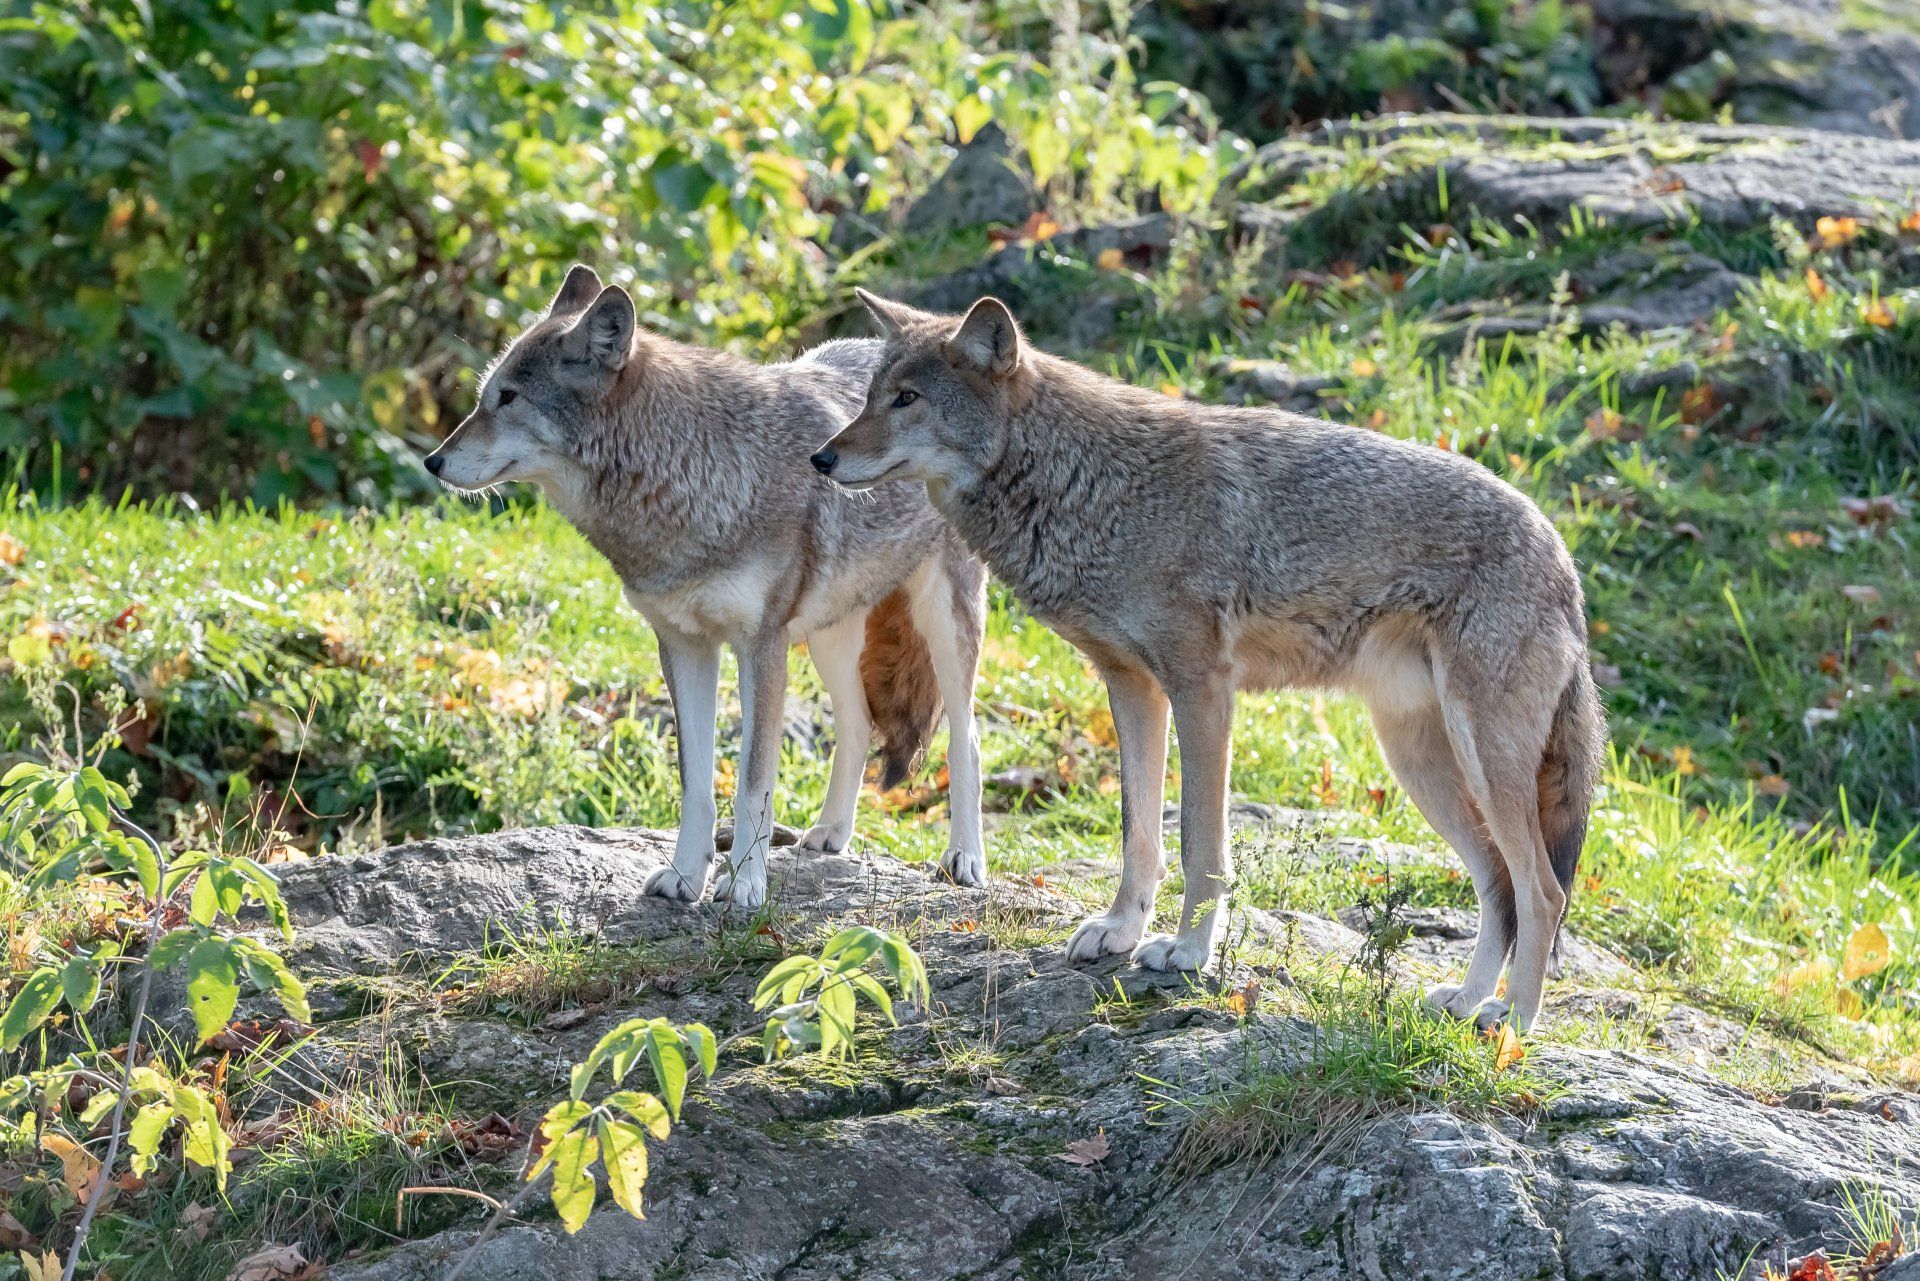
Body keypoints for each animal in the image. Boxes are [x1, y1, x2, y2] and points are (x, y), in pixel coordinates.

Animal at [424, 266, 988, 909]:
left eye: (508, 398)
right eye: (484, 396)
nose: (432, 461)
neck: (689, 476)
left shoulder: (760, 647)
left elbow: (751, 781)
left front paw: (744, 883)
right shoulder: (683, 646)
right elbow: (695, 781)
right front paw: (685, 876)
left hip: (942, 624)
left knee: (966, 738)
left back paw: (964, 859)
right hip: (829, 638)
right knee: (859, 724)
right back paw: (829, 835)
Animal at [813, 289, 1605, 1031]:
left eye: (907, 399)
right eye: (870, 397)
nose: (822, 457)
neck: (1093, 485)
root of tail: (1564, 560)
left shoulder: (1202, 689)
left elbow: (1200, 843)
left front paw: (1188, 953)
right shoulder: (1131, 688)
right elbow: (1138, 832)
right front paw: (1121, 931)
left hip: (1478, 758)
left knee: (1543, 890)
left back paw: (1513, 1022)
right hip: (1419, 763)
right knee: (1498, 880)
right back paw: (1467, 1000)